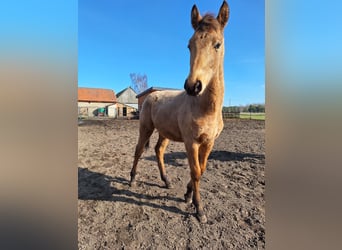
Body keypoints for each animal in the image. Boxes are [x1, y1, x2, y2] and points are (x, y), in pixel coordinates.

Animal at [130, 0, 230, 223]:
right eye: (189, 45)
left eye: (217, 44)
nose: (193, 86)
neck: (205, 108)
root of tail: (150, 95)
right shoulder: (191, 142)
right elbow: (195, 171)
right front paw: (199, 209)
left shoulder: (209, 142)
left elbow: (201, 169)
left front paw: (187, 194)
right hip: (146, 128)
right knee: (139, 150)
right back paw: (131, 179)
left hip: (165, 133)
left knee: (158, 150)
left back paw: (166, 180)